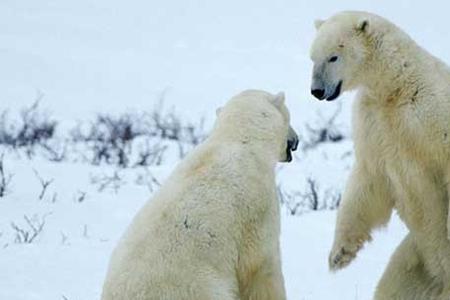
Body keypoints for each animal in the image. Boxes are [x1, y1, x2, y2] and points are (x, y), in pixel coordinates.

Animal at [102, 89, 298, 300]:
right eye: (289, 116)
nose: (296, 139)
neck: (241, 140)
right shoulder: (258, 203)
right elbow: (260, 266)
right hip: (198, 286)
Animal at [312, 10, 450, 298]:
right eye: (313, 57)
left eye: (333, 56)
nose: (317, 91)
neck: (396, 86)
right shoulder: (374, 123)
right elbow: (368, 181)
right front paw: (339, 254)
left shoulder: (432, 115)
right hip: (417, 260)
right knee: (394, 286)